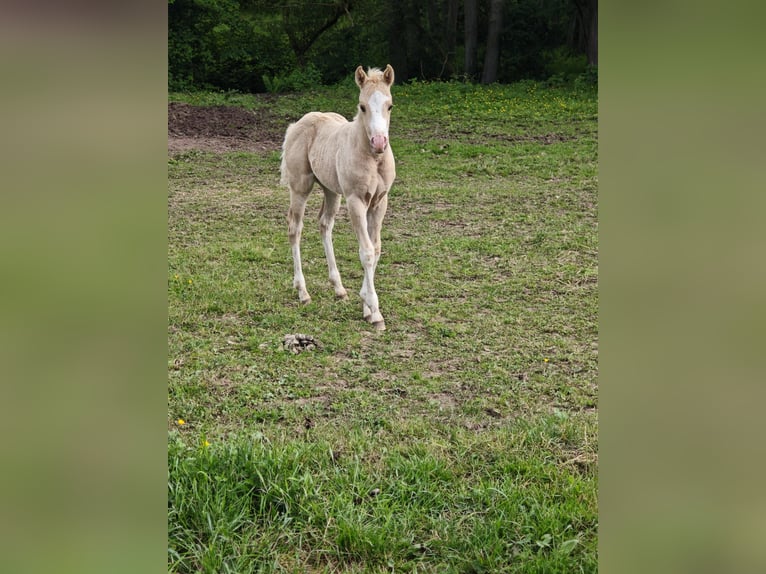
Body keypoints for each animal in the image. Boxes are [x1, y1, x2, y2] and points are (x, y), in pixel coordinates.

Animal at [281, 65, 396, 330]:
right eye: (362, 106)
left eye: (390, 105)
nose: (379, 142)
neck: (373, 159)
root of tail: (297, 124)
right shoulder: (356, 200)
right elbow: (366, 251)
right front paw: (375, 312)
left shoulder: (379, 202)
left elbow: (376, 249)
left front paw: (366, 306)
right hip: (300, 187)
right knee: (295, 228)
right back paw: (303, 292)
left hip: (331, 190)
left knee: (325, 225)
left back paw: (339, 288)